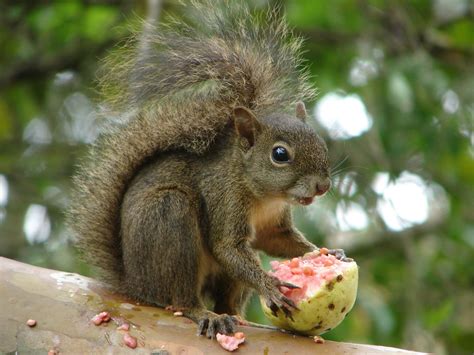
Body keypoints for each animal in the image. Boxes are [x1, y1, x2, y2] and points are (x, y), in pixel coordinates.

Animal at [66, 0, 346, 340]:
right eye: (280, 154)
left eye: (320, 141)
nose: (322, 186)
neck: (264, 195)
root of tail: (135, 284)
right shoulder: (223, 199)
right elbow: (226, 247)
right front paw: (270, 285)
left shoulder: (273, 226)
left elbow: (278, 241)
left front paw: (328, 253)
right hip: (170, 220)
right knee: (180, 299)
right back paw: (205, 314)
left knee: (227, 299)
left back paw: (237, 317)